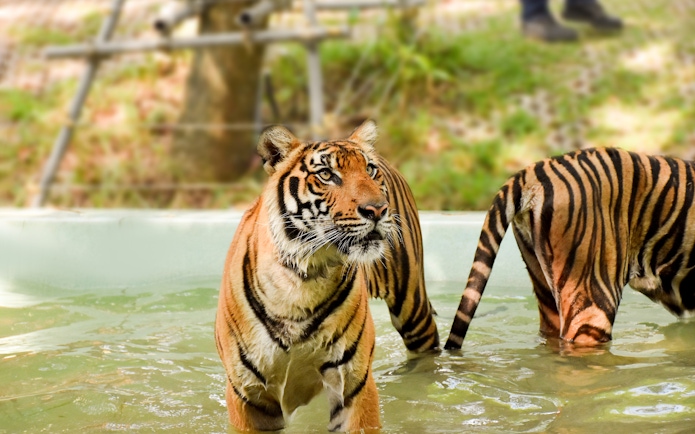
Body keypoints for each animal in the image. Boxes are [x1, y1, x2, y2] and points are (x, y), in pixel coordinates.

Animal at [215, 120, 439, 432]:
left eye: (369, 170)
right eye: (326, 175)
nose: (377, 209)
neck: (300, 281)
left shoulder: (353, 383)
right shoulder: (247, 393)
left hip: (412, 305)